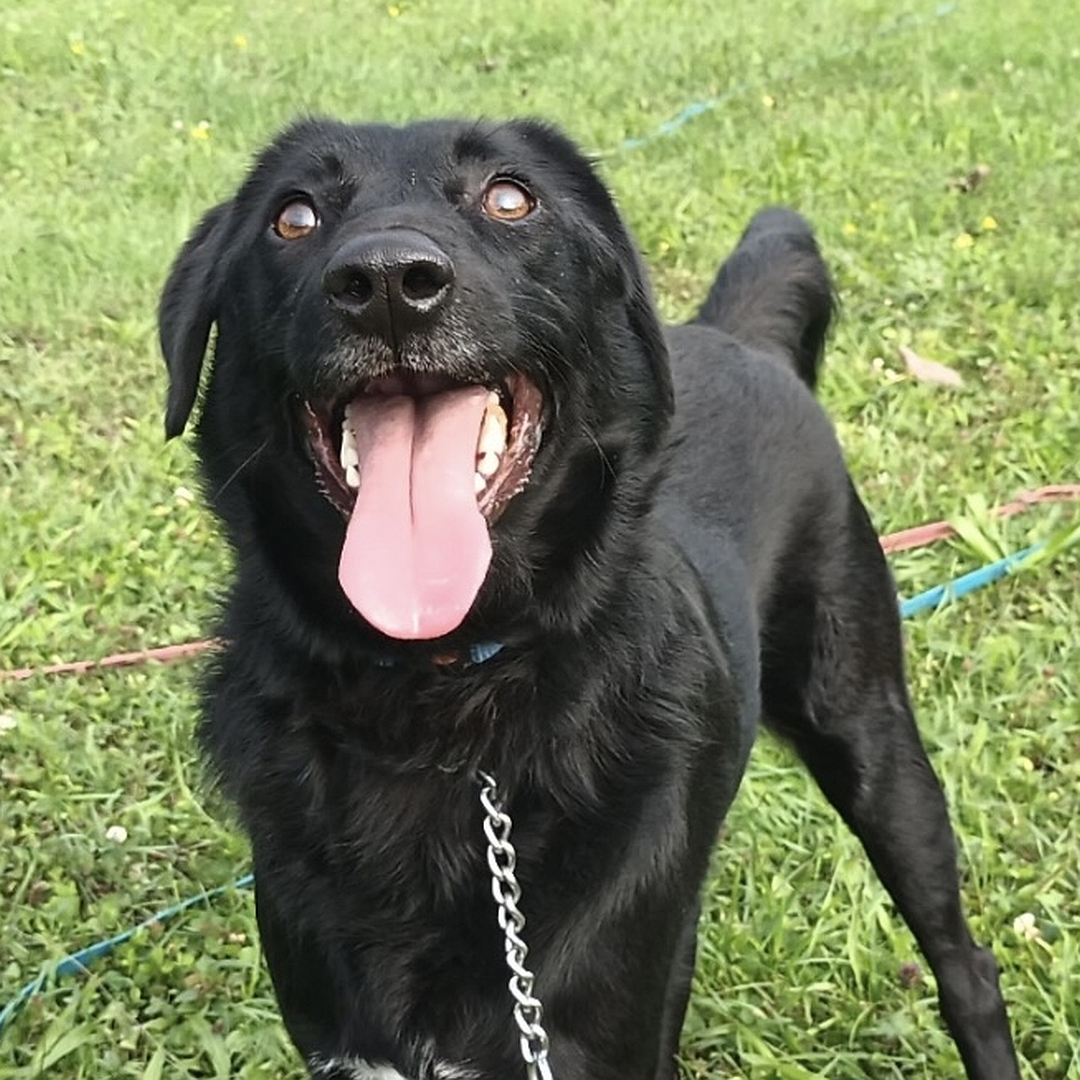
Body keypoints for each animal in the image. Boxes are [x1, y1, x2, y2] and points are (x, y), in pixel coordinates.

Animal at [159, 120, 1019, 1080]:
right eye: (294, 216)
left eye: (510, 197)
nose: (386, 282)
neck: (439, 704)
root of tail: (740, 340)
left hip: (871, 740)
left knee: (967, 967)